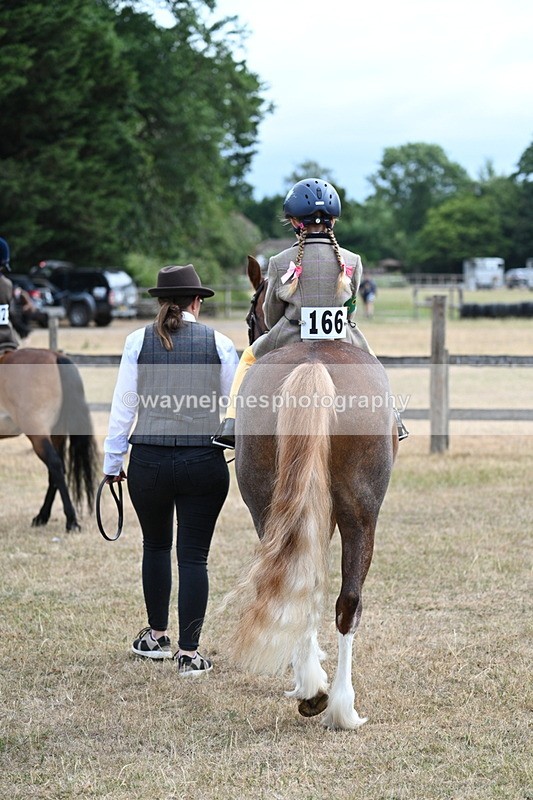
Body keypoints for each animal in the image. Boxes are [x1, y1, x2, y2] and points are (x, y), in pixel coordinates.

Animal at [0, 347, 99, 531]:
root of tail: (55, 355)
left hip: (38, 435)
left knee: (55, 465)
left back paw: (71, 521)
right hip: (56, 435)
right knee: (56, 471)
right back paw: (42, 517)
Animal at [231, 256, 398, 730]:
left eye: (250, 317)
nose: (250, 329)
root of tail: (314, 362)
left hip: (273, 507)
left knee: (311, 587)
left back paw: (321, 696)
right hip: (359, 512)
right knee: (346, 600)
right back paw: (336, 703)